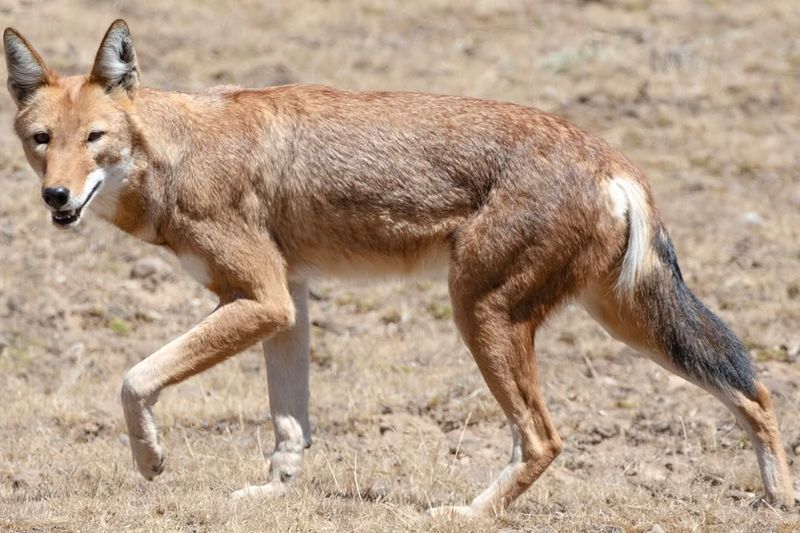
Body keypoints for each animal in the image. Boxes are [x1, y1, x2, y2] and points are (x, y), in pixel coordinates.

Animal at [3, 20, 792, 516]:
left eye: (95, 139)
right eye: (41, 140)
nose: (56, 198)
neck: (174, 152)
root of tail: (613, 160)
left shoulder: (261, 297)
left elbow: (134, 378)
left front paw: (151, 462)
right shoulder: (287, 299)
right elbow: (290, 425)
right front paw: (274, 495)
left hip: (481, 312)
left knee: (543, 438)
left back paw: (465, 512)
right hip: (621, 320)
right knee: (753, 388)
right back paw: (779, 498)